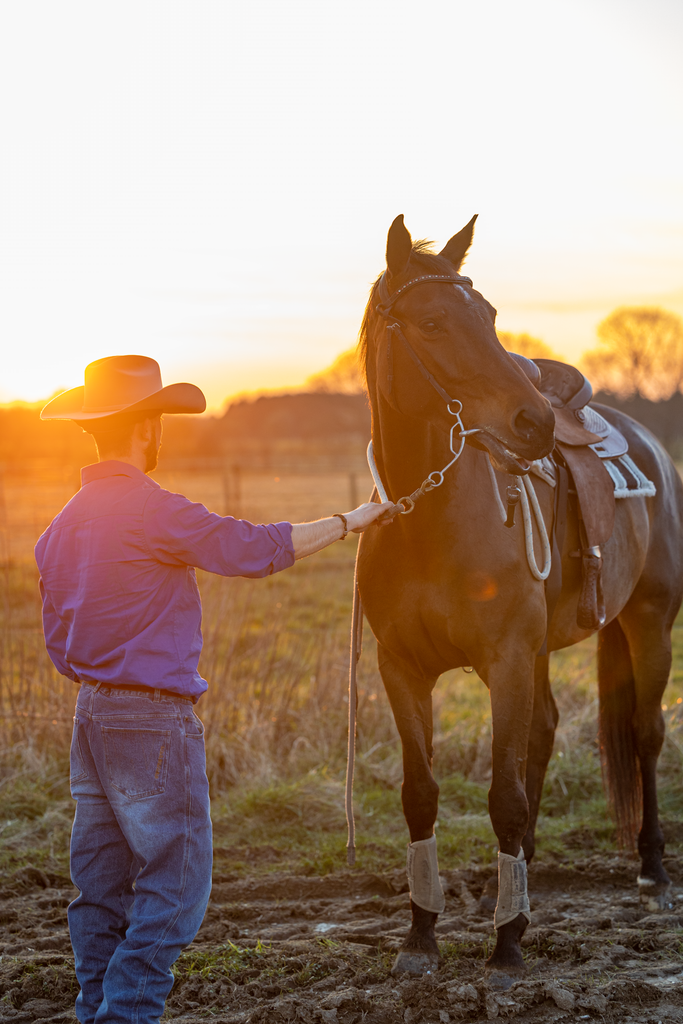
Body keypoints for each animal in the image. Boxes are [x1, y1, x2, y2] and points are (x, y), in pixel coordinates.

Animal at [356, 214, 683, 974]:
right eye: (432, 321)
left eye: (491, 315)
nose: (533, 423)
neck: (428, 520)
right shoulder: (401, 669)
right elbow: (421, 794)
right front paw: (421, 932)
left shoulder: (504, 659)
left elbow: (502, 795)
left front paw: (507, 941)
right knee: (544, 731)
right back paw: (522, 871)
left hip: (647, 623)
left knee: (644, 732)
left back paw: (651, 869)